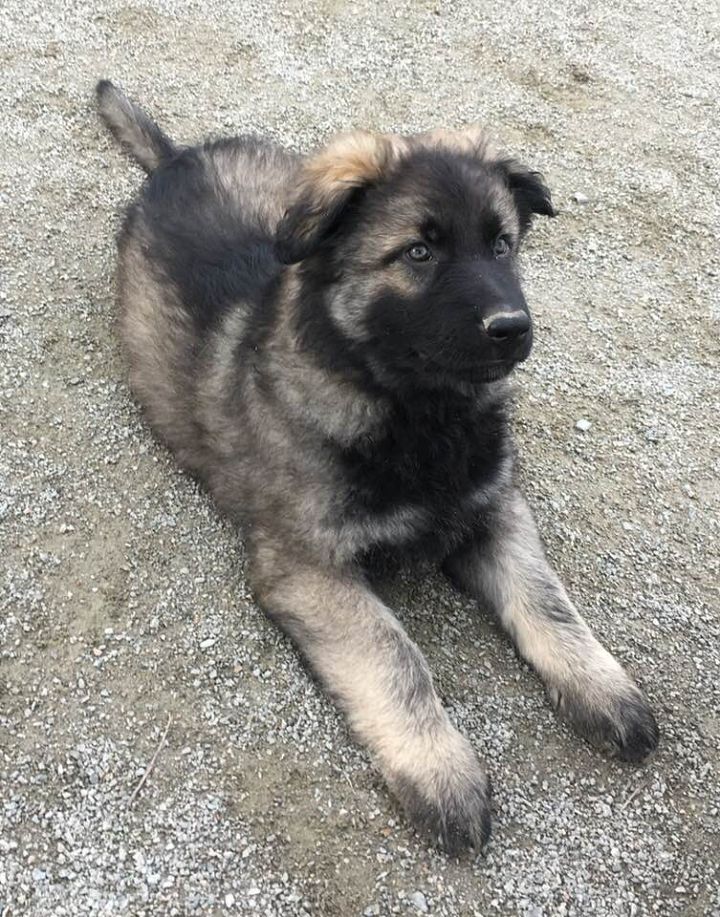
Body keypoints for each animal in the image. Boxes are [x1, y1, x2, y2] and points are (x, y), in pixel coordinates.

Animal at [96, 80, 659, 854]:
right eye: (418, 252)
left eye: (502, 244)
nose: (514, 329)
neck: (420, 415)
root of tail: (180, 156)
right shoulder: (309, 567)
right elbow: (394, 656)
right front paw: (440, 771)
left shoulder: (495, 506)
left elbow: (547, 600)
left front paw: (605, 690)